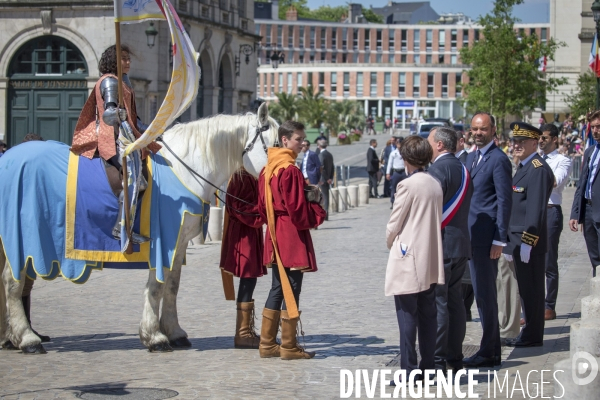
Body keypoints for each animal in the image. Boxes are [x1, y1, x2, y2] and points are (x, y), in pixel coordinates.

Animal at [0, 102, 278, 354]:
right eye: (274, 145)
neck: (183, 171)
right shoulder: (164, 241)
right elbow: (156, 286)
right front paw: (154, 336)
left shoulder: (179, 243)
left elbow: (172, 285)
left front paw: (174, 332)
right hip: (21, 236)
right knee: (12, 283)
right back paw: (27, 339)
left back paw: (11, 337)